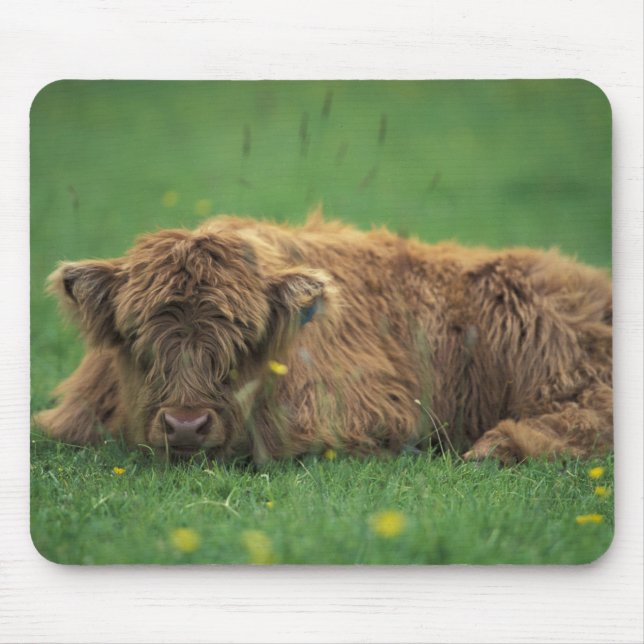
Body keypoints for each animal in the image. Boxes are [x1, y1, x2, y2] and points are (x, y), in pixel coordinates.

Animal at [34, 211, 613, 464]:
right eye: (138, 336)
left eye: (245, 338)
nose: (185, 425)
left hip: (558, 365)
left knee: (591, 415)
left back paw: (498, 446)